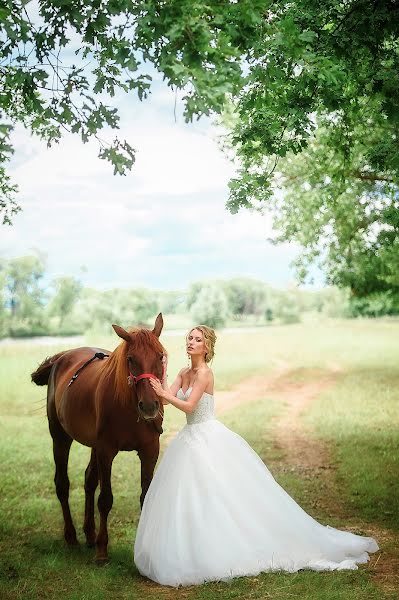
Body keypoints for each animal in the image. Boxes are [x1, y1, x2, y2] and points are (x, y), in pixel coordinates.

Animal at [30, 314, 166, 564]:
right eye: (130, 359)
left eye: (160, 356)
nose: (150, 406)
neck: (127, 407)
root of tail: (61, 358)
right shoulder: (106, 450)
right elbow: (105, 500)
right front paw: (102, 551)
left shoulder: (150, 450)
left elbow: (145, 496)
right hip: (60, 437)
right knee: (62, 484)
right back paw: (72, 537)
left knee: (89, 480)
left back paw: (89, 534)